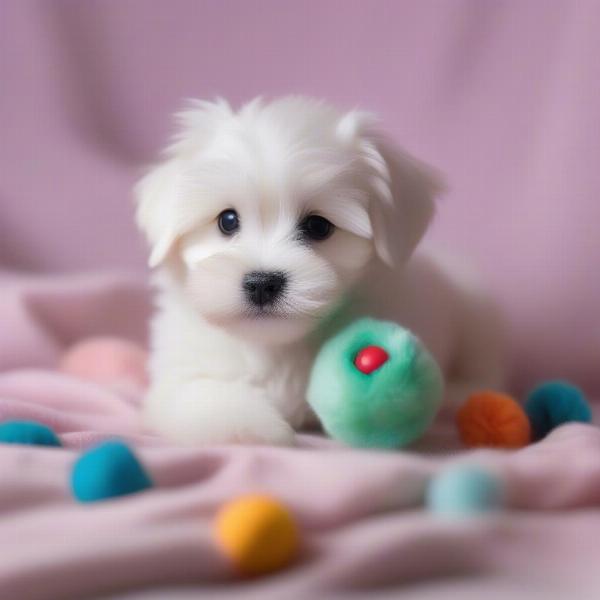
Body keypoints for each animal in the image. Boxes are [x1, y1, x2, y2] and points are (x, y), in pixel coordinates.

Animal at [134, 95, 504, 446]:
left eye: (317, 226)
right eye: (227, 220)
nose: (262, 283)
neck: (277, 346)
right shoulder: (179, 374)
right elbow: (202, 397)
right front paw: (261, 427)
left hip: (481, 322)